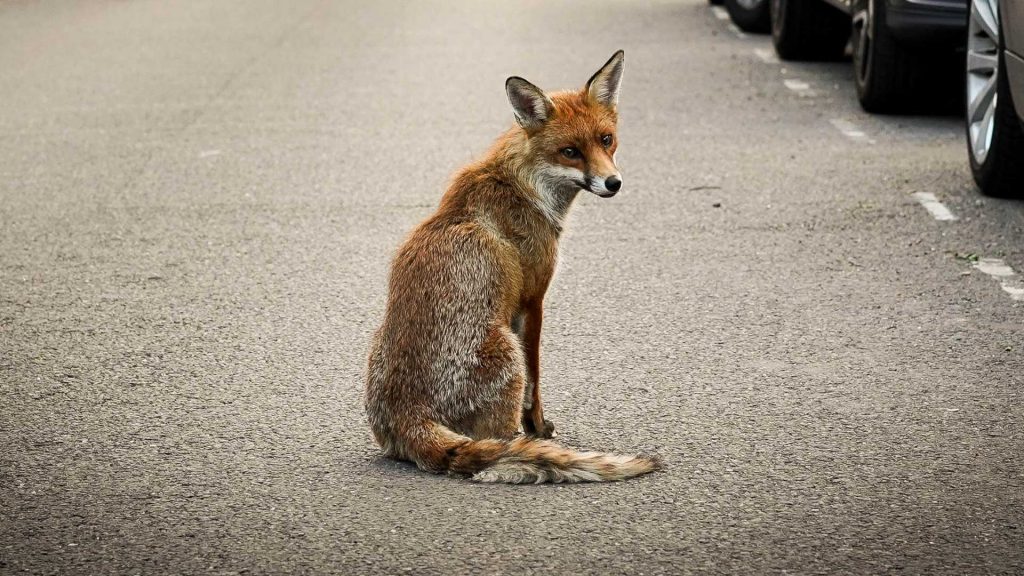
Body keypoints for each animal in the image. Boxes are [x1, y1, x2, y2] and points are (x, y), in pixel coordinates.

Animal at [364, 50, 659, 484]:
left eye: (606, 140)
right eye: (570, 151)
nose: (613, 183)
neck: (525, 187)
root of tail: (409, 415)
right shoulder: (533, 299)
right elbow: (535, 384)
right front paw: (539, 429)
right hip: (505, 348)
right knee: (495, 444)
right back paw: (521, 454)